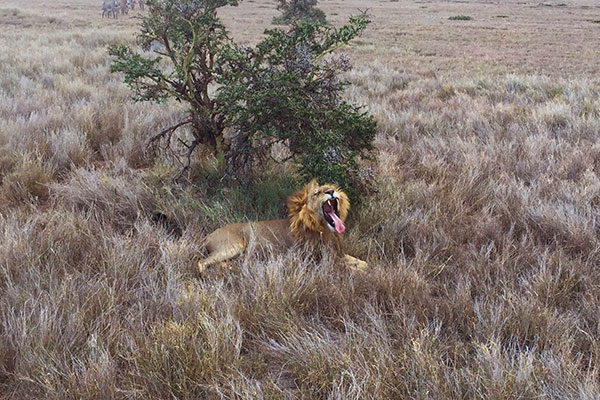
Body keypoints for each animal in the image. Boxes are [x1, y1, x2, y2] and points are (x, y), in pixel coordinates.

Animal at [197, 180, 366, 272]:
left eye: (332, 188)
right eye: (317, 193)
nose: (331, 191)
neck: (323, 229)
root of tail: (208, 236)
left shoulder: (336, 253)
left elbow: (361, 262)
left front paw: (362, 265)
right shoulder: (314, 259)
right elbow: (349, 268)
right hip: (233, 246)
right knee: (202, 262)